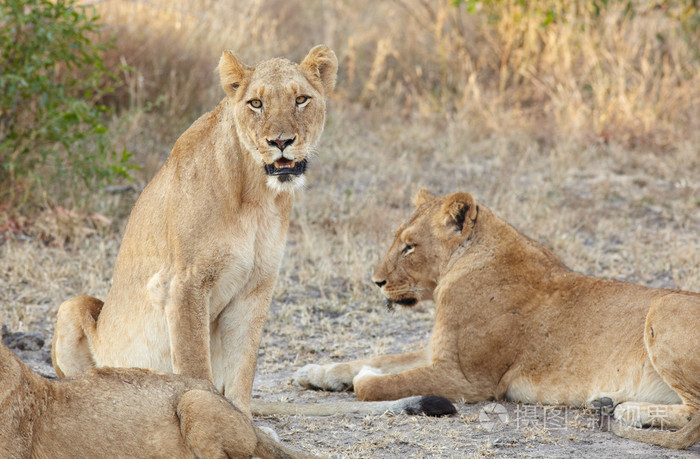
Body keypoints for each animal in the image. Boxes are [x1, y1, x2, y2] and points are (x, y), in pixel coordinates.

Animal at [53, 45, 338, 416]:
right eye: (256, 103)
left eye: (301, 99)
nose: (280, 141)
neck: (256, 195)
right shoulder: (183, 283)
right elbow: (194, 366)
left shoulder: (256, 287)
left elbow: (242, 367)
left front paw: (241, 420)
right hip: (71, 306)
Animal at [296, 189, 700, 452]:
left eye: (409, 246)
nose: (376, 281)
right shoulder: (438, 352)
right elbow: (376, 358)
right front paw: (314, 372)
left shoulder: (468, 379)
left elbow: (376, 384)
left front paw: (365, 380)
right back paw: (609, 405)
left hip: (662, 307)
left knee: (696, 413)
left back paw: (627, 410)